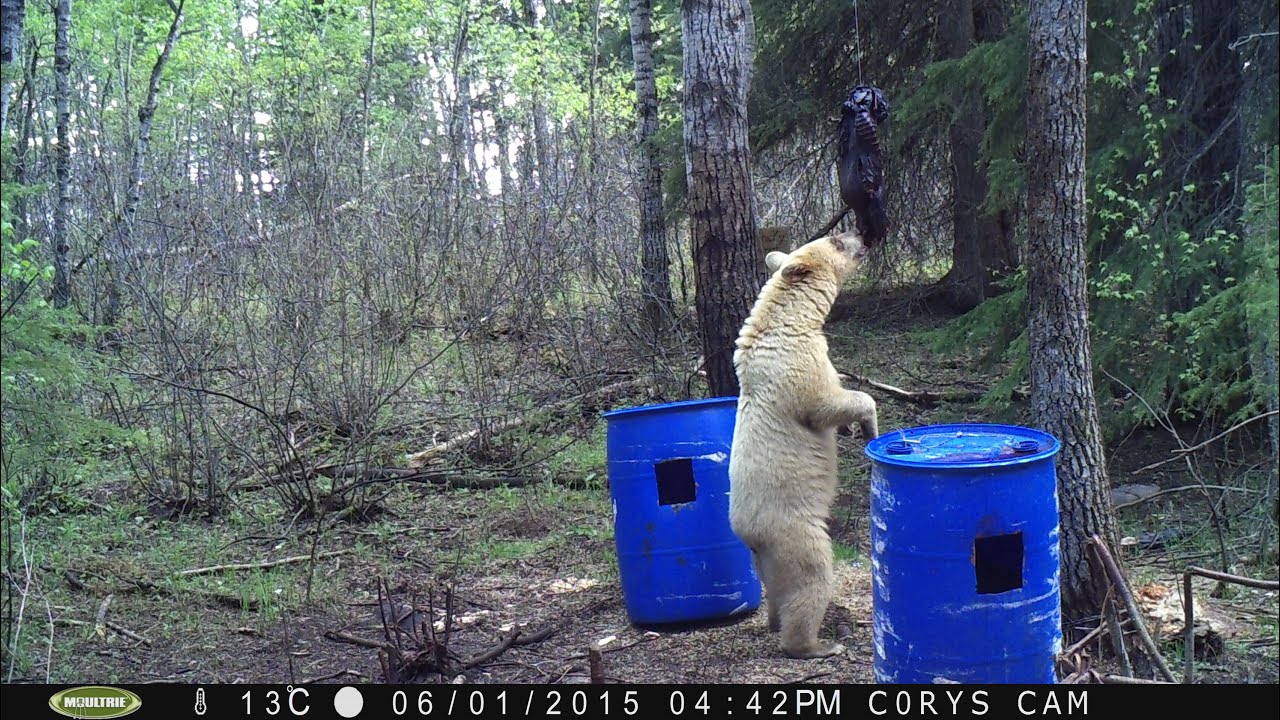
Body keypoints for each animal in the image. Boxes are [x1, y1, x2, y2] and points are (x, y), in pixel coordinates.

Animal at [728, 228, 879, 659]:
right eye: (836, 240)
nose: (862, 234)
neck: (784, 322)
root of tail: (749, 535)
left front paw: (852, 431)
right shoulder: (799, 365)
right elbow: (826, 403)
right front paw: (868, 425)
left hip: (765, 559)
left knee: (777, 590)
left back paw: (773, 620)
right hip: (795, 530)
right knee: (812, 578)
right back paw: (817, 645)